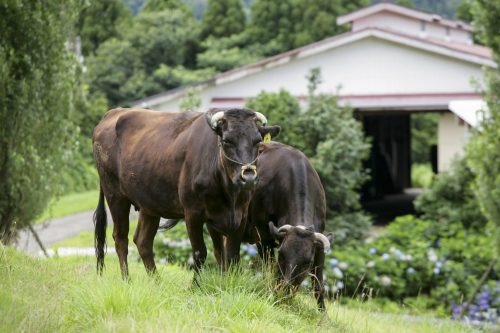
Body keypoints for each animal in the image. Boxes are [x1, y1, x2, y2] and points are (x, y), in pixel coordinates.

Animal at [92, 107, 280, 276]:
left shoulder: (238, 215)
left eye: (258, 141)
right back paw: (127, 280)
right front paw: (195, 287)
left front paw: (227, 282)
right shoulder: (193, 213)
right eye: (227, 141)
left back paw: (156, 282)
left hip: (149, 204)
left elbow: (228, 254)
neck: (230, 196)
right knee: (120, 239)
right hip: (115, 195)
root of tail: (113, 112)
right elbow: (200, 252)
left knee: (143, 241)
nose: (248, 178)